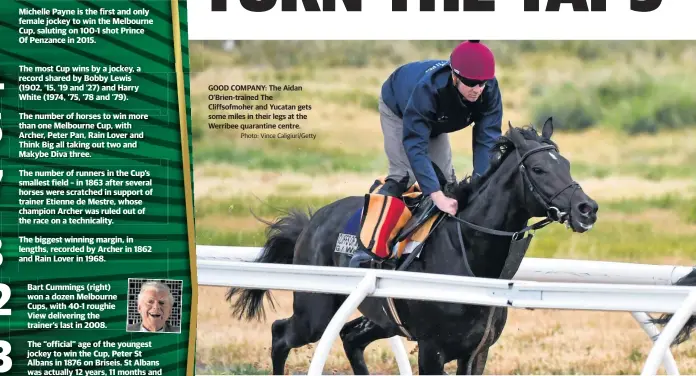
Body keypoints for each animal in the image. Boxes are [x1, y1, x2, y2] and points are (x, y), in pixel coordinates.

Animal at [226, 119, 692, 374]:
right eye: (540, 169)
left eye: (567, 164)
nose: (587, 208)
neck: (473, 261)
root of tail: (313, 221)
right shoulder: (433, 350)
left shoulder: (477, 351)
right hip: (316, 308)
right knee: (282, 333)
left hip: (382, 319)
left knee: (351, 338)